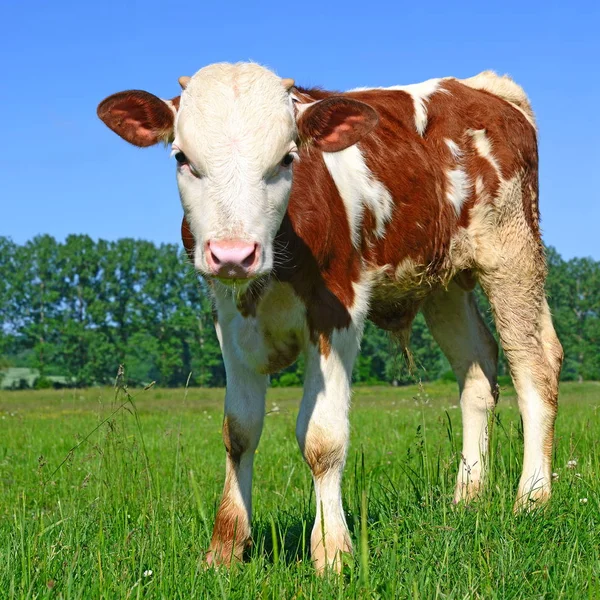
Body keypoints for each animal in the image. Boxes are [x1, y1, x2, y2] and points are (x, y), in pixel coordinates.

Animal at [97, 61, 564, 572]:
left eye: (287, 158)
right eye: (182, 157)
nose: (234, 254)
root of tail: (482, 86)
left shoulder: (339, 311)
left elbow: (322, 439)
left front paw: (332, 552)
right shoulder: (228, 317)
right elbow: (239, 431)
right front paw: (226, 547)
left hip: (512, 252)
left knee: (534, 368)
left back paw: (532, 497)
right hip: (446, 281)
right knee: (477, 370)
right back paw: (468, 496)